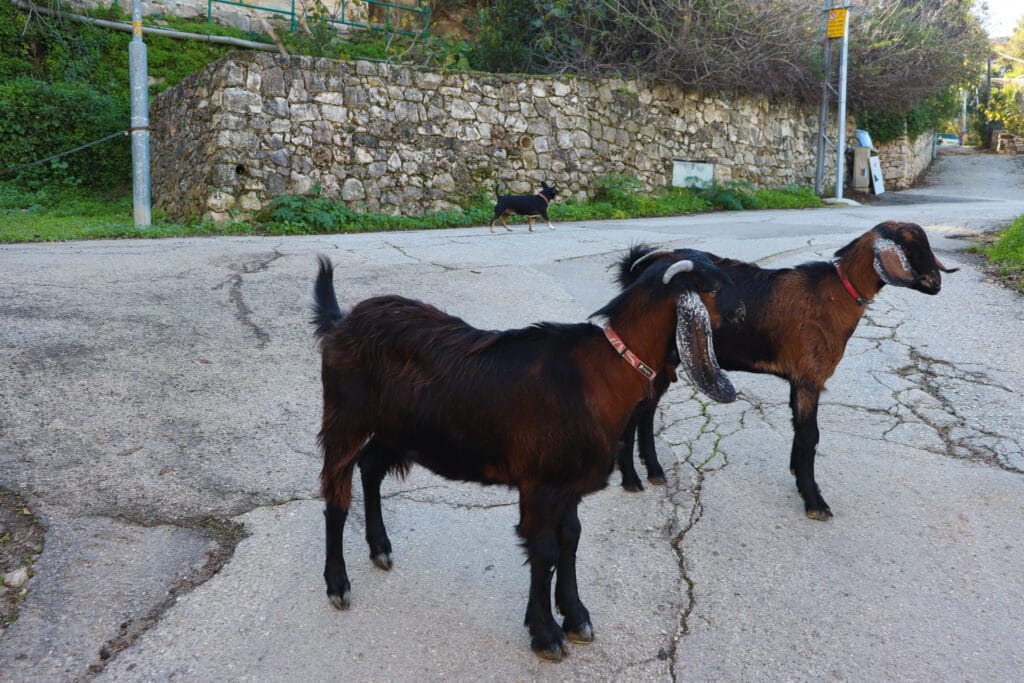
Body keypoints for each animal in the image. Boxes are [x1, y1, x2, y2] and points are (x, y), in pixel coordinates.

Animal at [311, 248, 745, 659]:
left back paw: (380, 548)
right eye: (717, 289)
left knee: (370, 467)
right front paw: (547, 634)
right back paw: (337, 583)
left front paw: (576, 617)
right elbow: (545, 550)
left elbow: (571, 538)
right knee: (336, 493)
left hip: (397, 427)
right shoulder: (539, 484)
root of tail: (342, 322)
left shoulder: (569, 485)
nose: (743, 315)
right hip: (344, 415)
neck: (601, 370)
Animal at [614, 222, 958, 520]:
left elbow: (800, 431)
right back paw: (632, 478)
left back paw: (654, 471)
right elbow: (810, 436)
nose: (937, 283)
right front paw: (815, 502)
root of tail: (636, 273)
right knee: (637, 409)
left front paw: (798, 476)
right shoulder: (809, 378)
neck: (836, 293)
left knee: (646, 410)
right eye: (912, 247)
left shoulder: (799, 380)